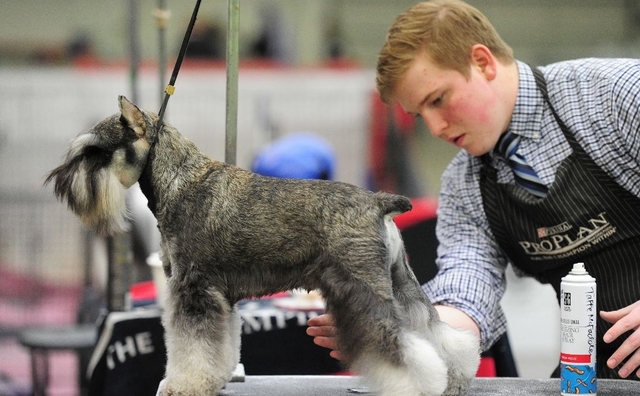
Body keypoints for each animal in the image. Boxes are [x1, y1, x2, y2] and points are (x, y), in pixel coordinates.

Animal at [46, 96, 480, 396]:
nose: (59, 183)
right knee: (435, 330)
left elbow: (190, 345)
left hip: (362, 290)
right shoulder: (219, 296)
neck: (179, 180)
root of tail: (378, 201)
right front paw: (217, 377)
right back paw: (454, 377)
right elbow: (221, 344)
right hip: (399, 282)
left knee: (396, 343)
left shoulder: (193, 290)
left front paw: (183, 384)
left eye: (95, 151)